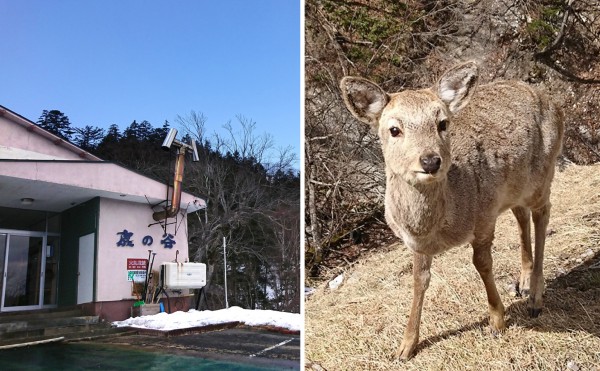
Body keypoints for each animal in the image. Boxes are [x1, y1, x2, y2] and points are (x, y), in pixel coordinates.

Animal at [340, 62, 564, 362]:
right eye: (394, 129)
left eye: (442, 123)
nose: (430, 161)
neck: (438, 228)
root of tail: (553, 103)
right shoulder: (416, 244)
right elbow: (418, 281)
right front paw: (405, 347)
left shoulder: (484, 217)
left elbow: (482, 264)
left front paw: (497, 321)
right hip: (515, 187)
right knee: (521, 213)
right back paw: (525, 281)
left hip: (544, 172)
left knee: (542, 212)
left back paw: (536, 298)